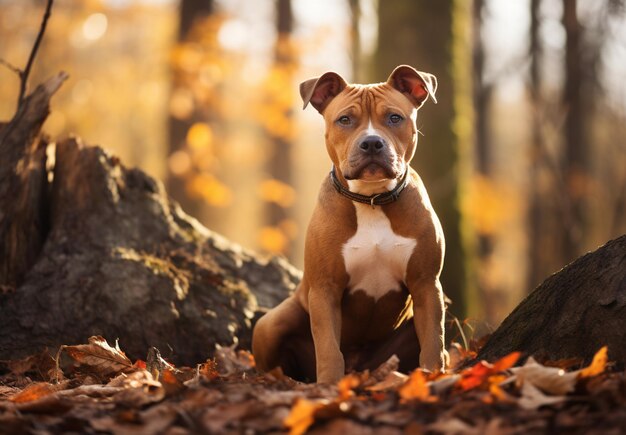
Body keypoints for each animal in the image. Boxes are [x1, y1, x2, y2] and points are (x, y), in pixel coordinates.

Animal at [251, 64, 446, 384]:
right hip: (271, 323)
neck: (372, 200)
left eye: (394, 117)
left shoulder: (426, 284)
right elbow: (329, 348)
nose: (372, 142)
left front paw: (433, 378)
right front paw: (329, 385)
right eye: (344, 119)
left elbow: (433, 343)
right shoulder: (325, 289)